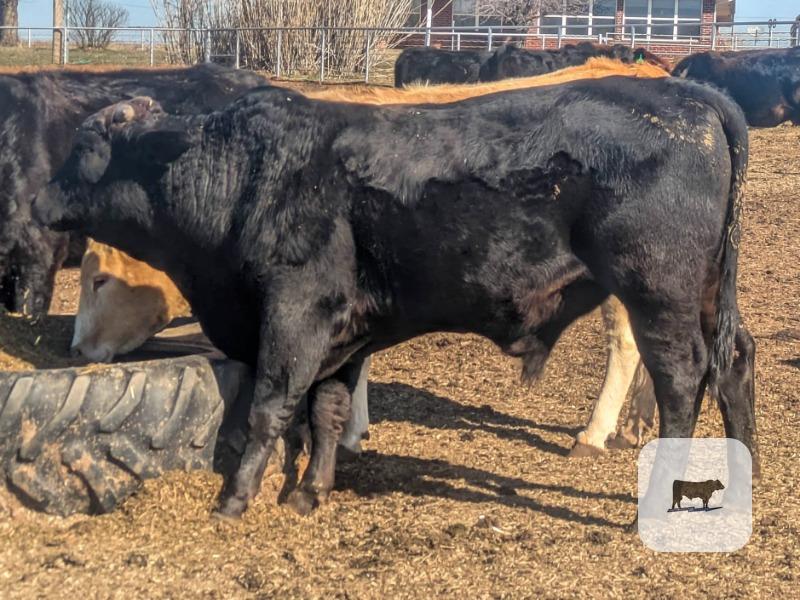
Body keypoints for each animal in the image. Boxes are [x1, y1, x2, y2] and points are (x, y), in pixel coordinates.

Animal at [34, 73, 758, 519]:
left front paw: (236, 499)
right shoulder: (345, 332)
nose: (40, 199)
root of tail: (689, 96)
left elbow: (271, 408)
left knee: (681, 377)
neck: (243, 175)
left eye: (90, 143)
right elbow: (327, 411)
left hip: (657, 293)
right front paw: (310, 493)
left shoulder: (295, 313)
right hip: (707, 292)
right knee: (735, 362)